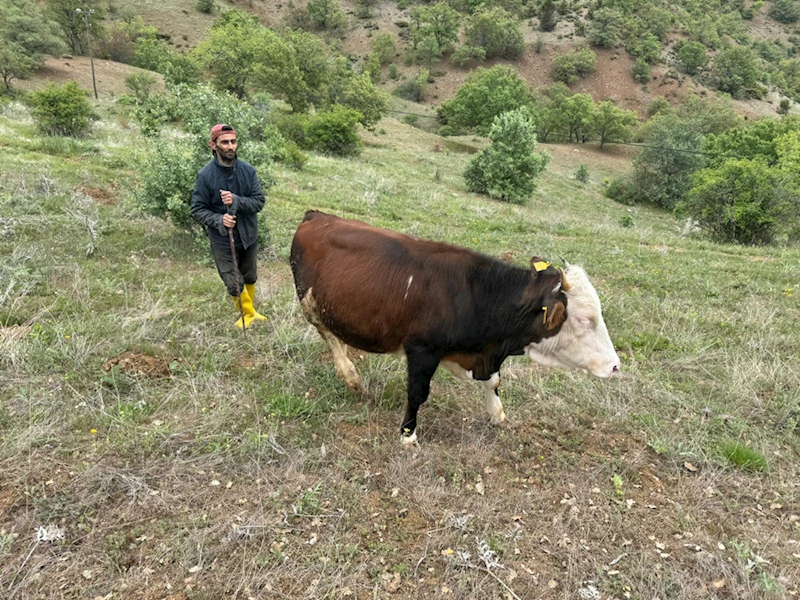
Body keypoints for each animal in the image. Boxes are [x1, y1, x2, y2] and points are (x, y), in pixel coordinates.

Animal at [288, 211, 620, 446]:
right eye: (585, 319)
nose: (616, 366)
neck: (479, 295)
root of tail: (317, 215)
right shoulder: (422, 349)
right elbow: (417, 393)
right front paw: (408, 435)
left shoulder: (474, 354)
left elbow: (493, 382)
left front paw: (497, 414)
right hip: (310, 302)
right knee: (328, 335)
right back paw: (351, 376)